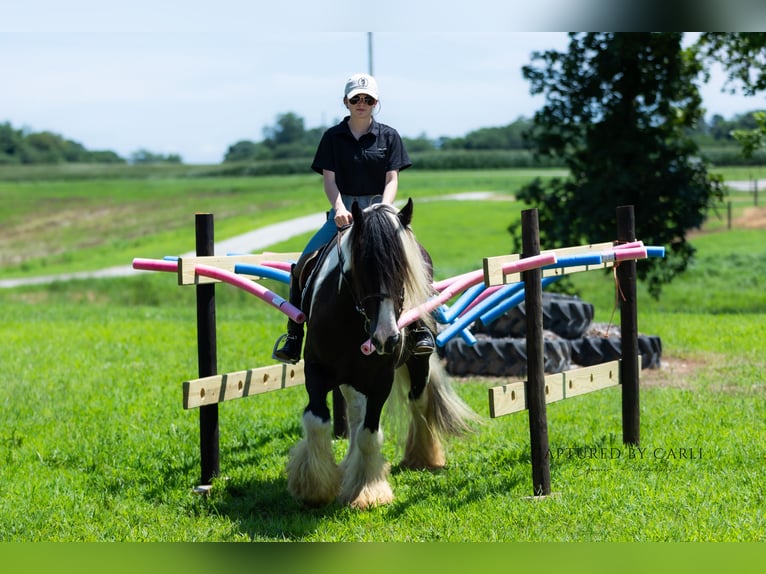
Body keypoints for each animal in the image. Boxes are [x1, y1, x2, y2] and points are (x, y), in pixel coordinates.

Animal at [285, 198, 480, 509]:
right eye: (361, 268)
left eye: (404, 270)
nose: (386, 337)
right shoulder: (316, 369)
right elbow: (317, 421)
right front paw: (314, 487)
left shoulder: (380, 380)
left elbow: (369, 434)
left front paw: (367, 491)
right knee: (355, 413)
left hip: (418, 363)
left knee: (418, 401)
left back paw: (423, 457)